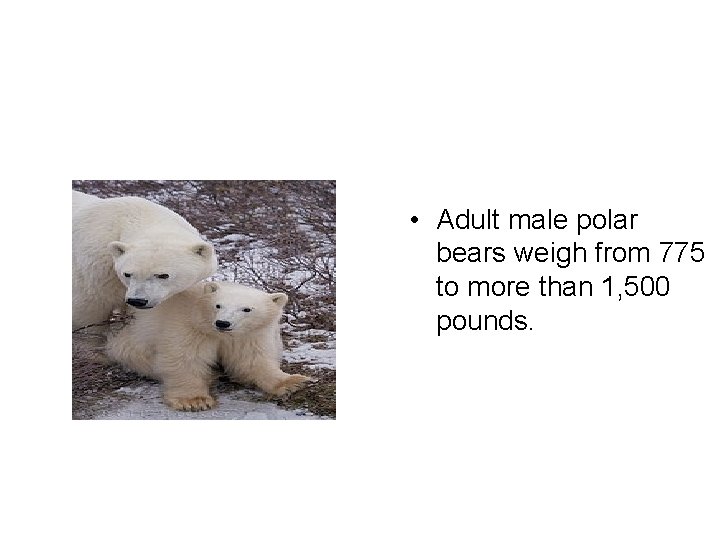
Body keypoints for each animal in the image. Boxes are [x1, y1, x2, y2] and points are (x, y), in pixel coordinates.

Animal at [104, 281, 314, 411]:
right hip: (133, 340)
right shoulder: (191, 327)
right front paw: (194, 401)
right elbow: (185, 358)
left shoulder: (248, 335)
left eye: (246, 309)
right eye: (218, 305)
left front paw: (293, 383)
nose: (223, 323)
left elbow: (252, 360)